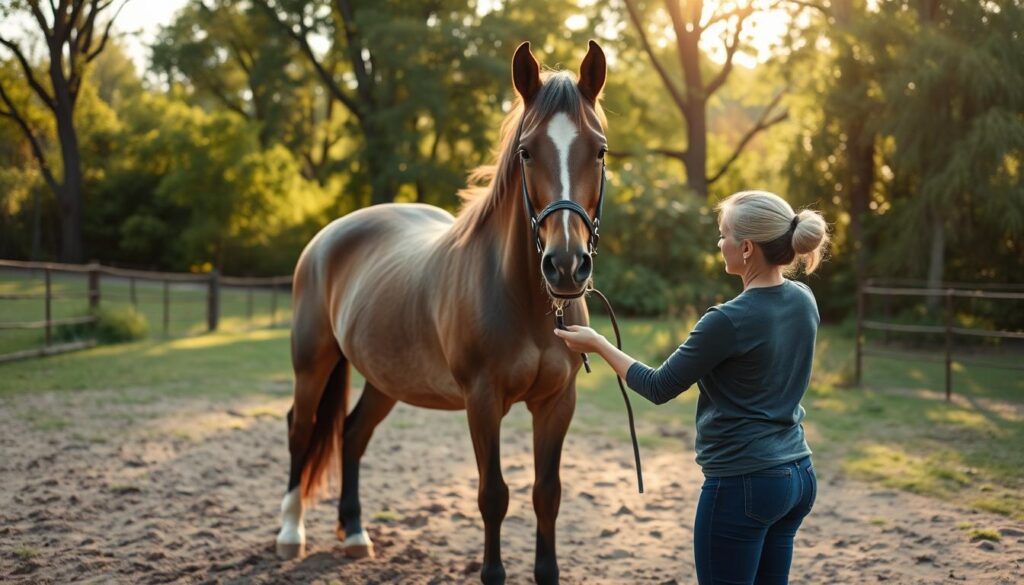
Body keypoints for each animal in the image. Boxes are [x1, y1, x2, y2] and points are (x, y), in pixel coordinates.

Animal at [274, 41, 606, 585]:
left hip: (385, 379)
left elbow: (546, 495)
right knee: (301, 429)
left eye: (599, 151)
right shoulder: (482, 401)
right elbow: (493, 496)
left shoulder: (558, 403)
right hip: (311, 364)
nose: (565, 265)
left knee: (352, 434)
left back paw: (355, 532)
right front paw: (492, 572)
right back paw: (290, 531)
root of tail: (327, 237)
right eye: (526, 151)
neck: (526, 303)